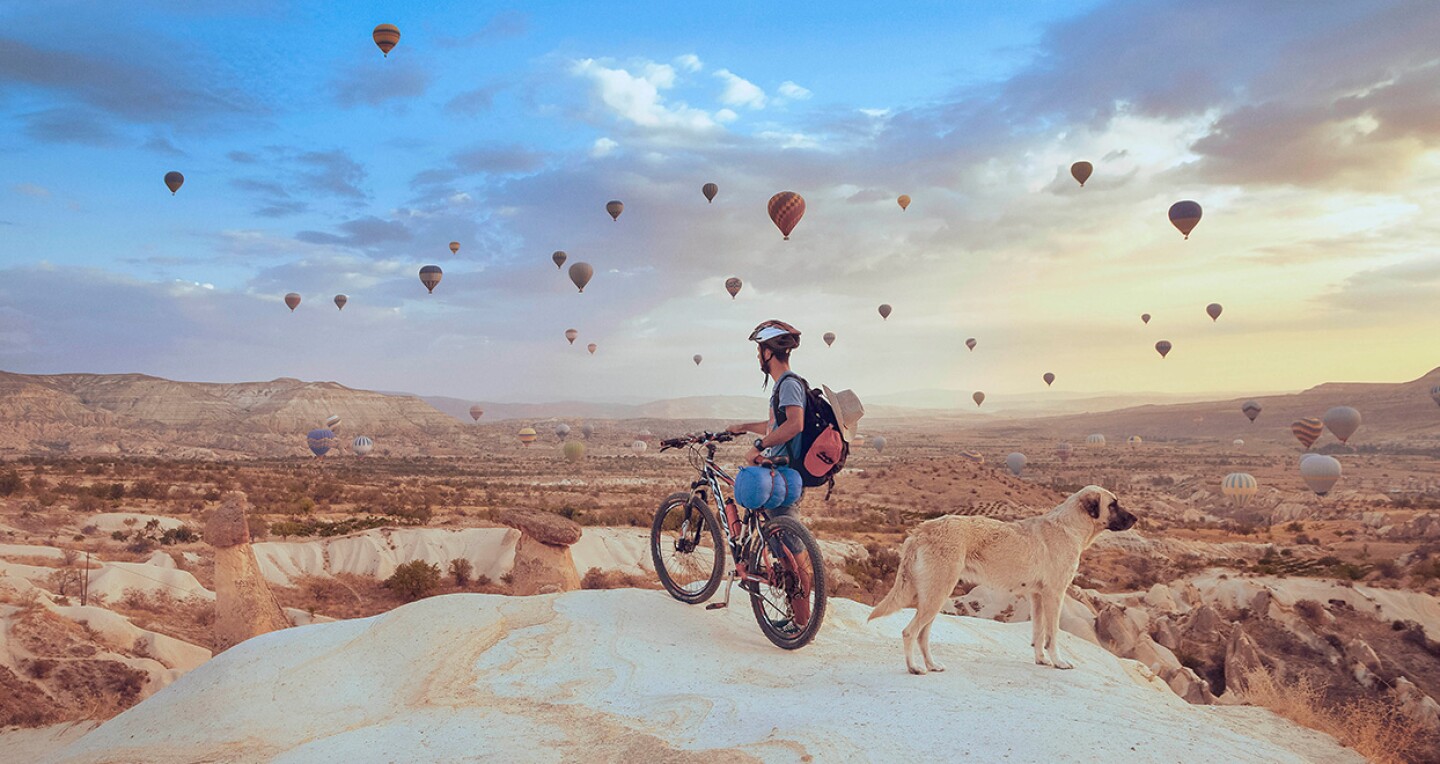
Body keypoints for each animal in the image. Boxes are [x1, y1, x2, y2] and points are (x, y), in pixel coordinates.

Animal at [864, 486, 1134, 673]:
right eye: (1113, 504)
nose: (1135, 519)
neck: (1070, 527)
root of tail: (921, 530)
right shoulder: (1054, 594)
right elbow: (1053, 634)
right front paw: (1058, 661)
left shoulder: (1037, 596)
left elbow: (1038, 632)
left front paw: (1041, 659)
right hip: (937, 594)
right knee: (910, 632)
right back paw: (914, 668)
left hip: (934, 596)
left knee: (922, 635)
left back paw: (932, 666)